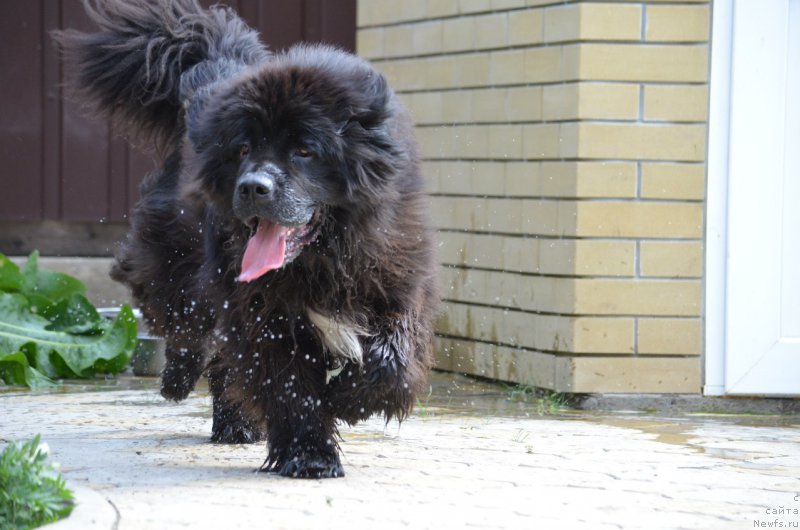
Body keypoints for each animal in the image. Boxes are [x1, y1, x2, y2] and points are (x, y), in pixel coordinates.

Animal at [54, 0, 438, 476]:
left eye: (305, 150)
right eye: (242, 149)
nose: (253, 187)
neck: (320, 261)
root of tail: (212, 69)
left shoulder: (397, 283)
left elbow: (393, 358)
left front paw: (348, 401)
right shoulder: (263, 316)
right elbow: (289, 386)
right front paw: (309, 455)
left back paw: (234, 426)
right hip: (174, 258)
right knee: (184, 325)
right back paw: (177, 379)